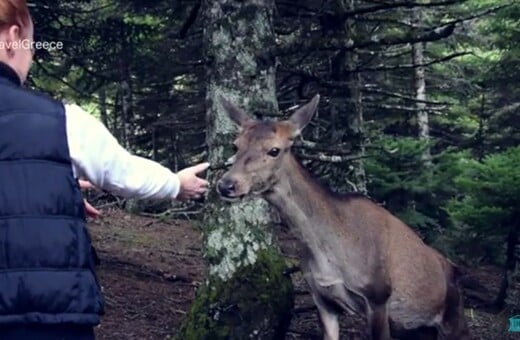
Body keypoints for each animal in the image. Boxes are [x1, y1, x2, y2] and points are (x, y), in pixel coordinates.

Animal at [215, 94, 472, 340]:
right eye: (235, 145)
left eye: (274, 150)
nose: (226, 184)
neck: (327, 251)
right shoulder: (322, 298)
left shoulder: (378, 295)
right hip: (416, 328)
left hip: (454, 318)